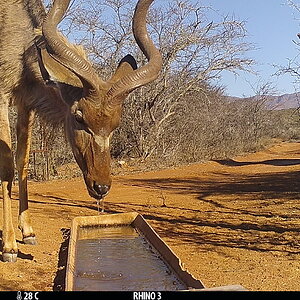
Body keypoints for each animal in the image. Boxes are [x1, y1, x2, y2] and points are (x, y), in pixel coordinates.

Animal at [0, 0, 162, 262]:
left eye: (115, 125)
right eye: (78, 117)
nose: (101, 187)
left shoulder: (26, 104)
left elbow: (22, 162)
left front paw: (28, 232)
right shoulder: (3, 96)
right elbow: (6, 167)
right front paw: (9, 246)